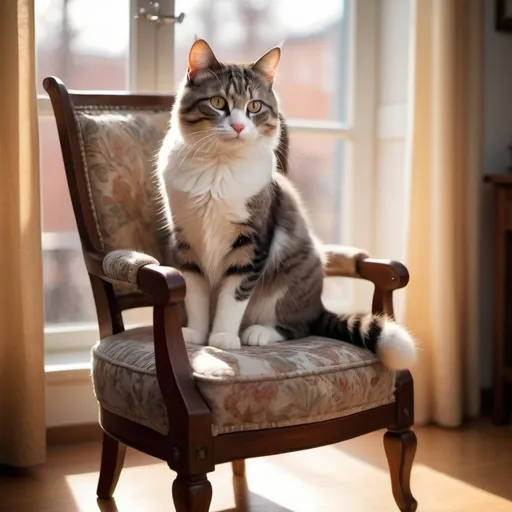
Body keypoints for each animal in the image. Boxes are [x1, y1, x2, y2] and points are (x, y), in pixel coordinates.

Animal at [156, 38, 416, 370]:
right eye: (217, 102)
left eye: (254, 106)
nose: (238, 127)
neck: (218, 167)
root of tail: (318, 305)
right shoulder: (187, 242)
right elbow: (196, 295)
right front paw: (198, 335)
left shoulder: (251, 243)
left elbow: (233, 296)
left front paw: (223, 338)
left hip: (292, 276)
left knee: (299, 326)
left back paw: (258, 333)